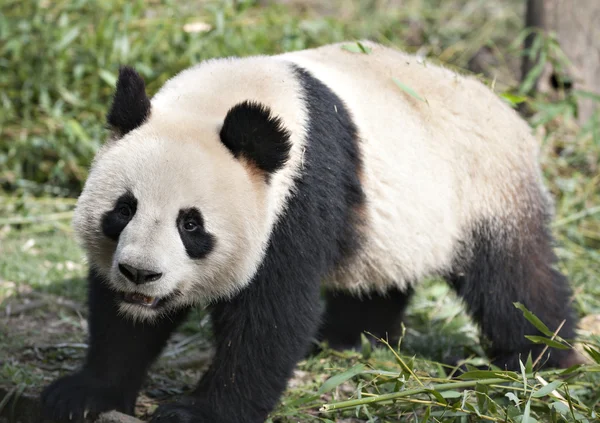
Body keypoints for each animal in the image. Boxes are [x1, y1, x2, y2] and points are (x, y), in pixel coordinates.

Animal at [41, 42, 580, 423]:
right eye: (123, 209)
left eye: (190, 224)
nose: (140, 274)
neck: (219, 104)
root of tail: (512, 111)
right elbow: (121, 322)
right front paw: (83, 394)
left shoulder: (297, 197)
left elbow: (273, 314)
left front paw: (196, 413)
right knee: (379, 277)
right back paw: (348, 338)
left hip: (483, 190)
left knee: (514, 281)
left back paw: (541, 362)